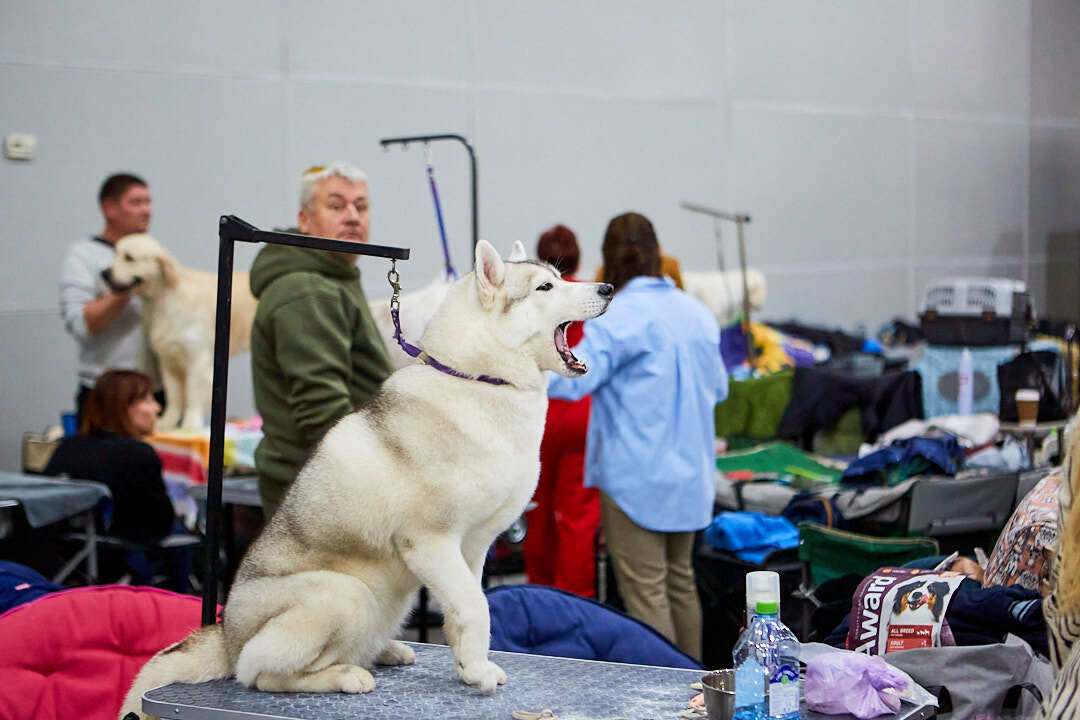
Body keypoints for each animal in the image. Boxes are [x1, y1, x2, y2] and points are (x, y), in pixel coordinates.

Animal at [103, 234, 259, 431]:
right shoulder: (167, 360)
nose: (105, 273)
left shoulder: (198, 360)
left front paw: (190, 425)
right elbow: (174, 396)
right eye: (115, 254)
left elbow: (192, 395)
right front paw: (167, 423)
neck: (162, 300)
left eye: (129, 258)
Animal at [121, 240, 613, 716]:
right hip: (345, 594)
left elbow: (469, 608)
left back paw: (383, 650)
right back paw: (344, 675)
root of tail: (225, 635)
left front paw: (467, 666)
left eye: (561, 276)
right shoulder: (430, 541)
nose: (608, 288)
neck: (480, 380)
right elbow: (476, 607)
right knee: (258, 671)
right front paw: (477, 673)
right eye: (545, 288)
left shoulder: (473, 548)